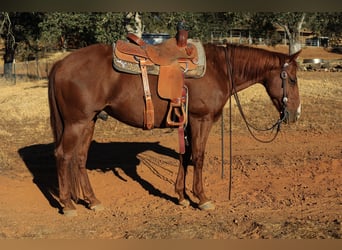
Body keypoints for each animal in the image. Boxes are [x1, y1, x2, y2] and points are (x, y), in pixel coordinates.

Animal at [48, 42, 302, 216]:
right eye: (292, 79)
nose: (296, 114)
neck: (219, 68)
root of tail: (59, 64)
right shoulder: (201, 120)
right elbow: (198, 157)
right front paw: (202, 198)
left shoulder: (187, 123)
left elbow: (184, 156)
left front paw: (181, 195)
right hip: (76, 123)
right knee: (63, 155)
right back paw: (68, 204)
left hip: (88, 122)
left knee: (79, 158)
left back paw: (92, 201)